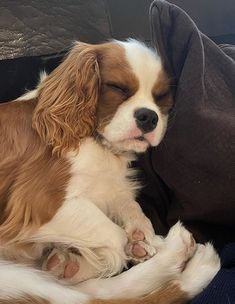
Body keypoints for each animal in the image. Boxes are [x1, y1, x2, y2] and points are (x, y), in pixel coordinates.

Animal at [0, 39, 220, 302]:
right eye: (118, 88)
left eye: (161, 97)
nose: (149, 117)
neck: (99, 144)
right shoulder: (41, 202)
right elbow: (115, 237)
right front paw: (100, 257)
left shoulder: (106, 185)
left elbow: (127, 203)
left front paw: (140, 235)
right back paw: (188, 256)